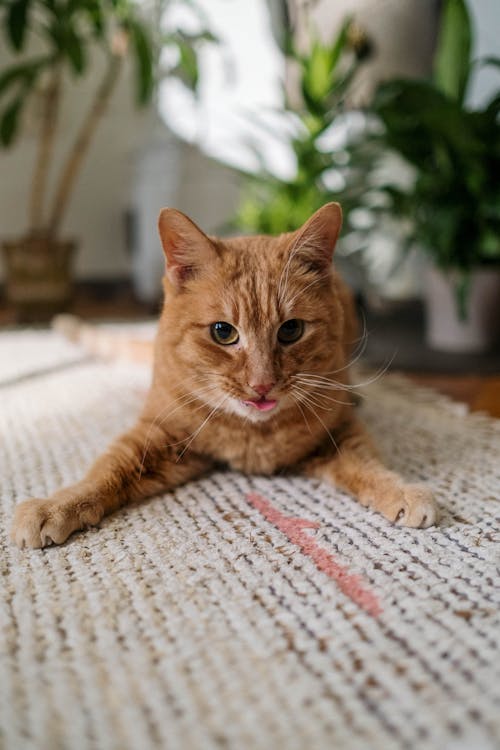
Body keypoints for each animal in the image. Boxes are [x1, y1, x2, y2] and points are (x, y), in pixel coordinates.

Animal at [9, 203, 436, 548]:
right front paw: (58, 505)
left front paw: (401, 490)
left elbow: (367, 464)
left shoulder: (339, 431)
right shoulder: (157, 436)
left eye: (291, 330)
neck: (254, 437)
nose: (262, 384)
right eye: (222, 332)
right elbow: (105, 471)